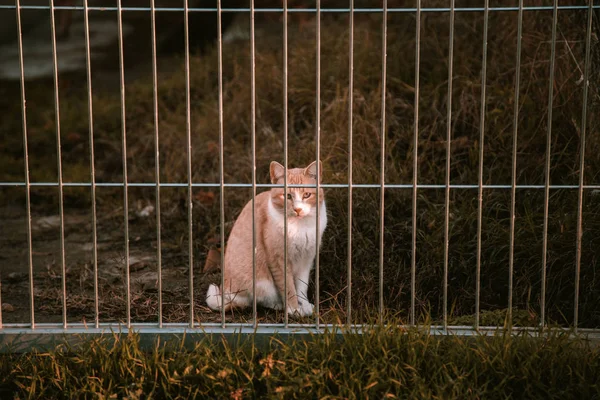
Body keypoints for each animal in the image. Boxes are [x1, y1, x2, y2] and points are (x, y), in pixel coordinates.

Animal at [206, 159, 328, 316]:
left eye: (307, 195)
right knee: (259, 300)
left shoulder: (306, 259)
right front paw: (294, 309)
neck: (301, 226)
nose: (298, 209)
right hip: (261, 283)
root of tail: (226, 294)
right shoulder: (279, 261)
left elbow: (302, 286)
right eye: (287, 196)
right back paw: (279, 305)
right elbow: (289, 288)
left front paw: (305, 305)